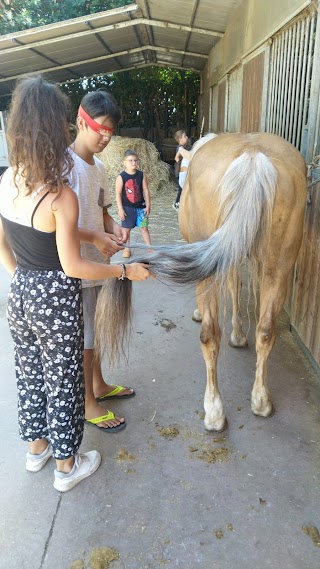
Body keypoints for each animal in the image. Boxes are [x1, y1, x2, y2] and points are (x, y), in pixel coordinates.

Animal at [95, 132, 308, 430]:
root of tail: (253, 157)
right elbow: (235, 286)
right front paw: (238, 335)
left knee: (209, 336)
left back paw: (214, 412)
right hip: (278, 268)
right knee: (266, 331)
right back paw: (261, 402)